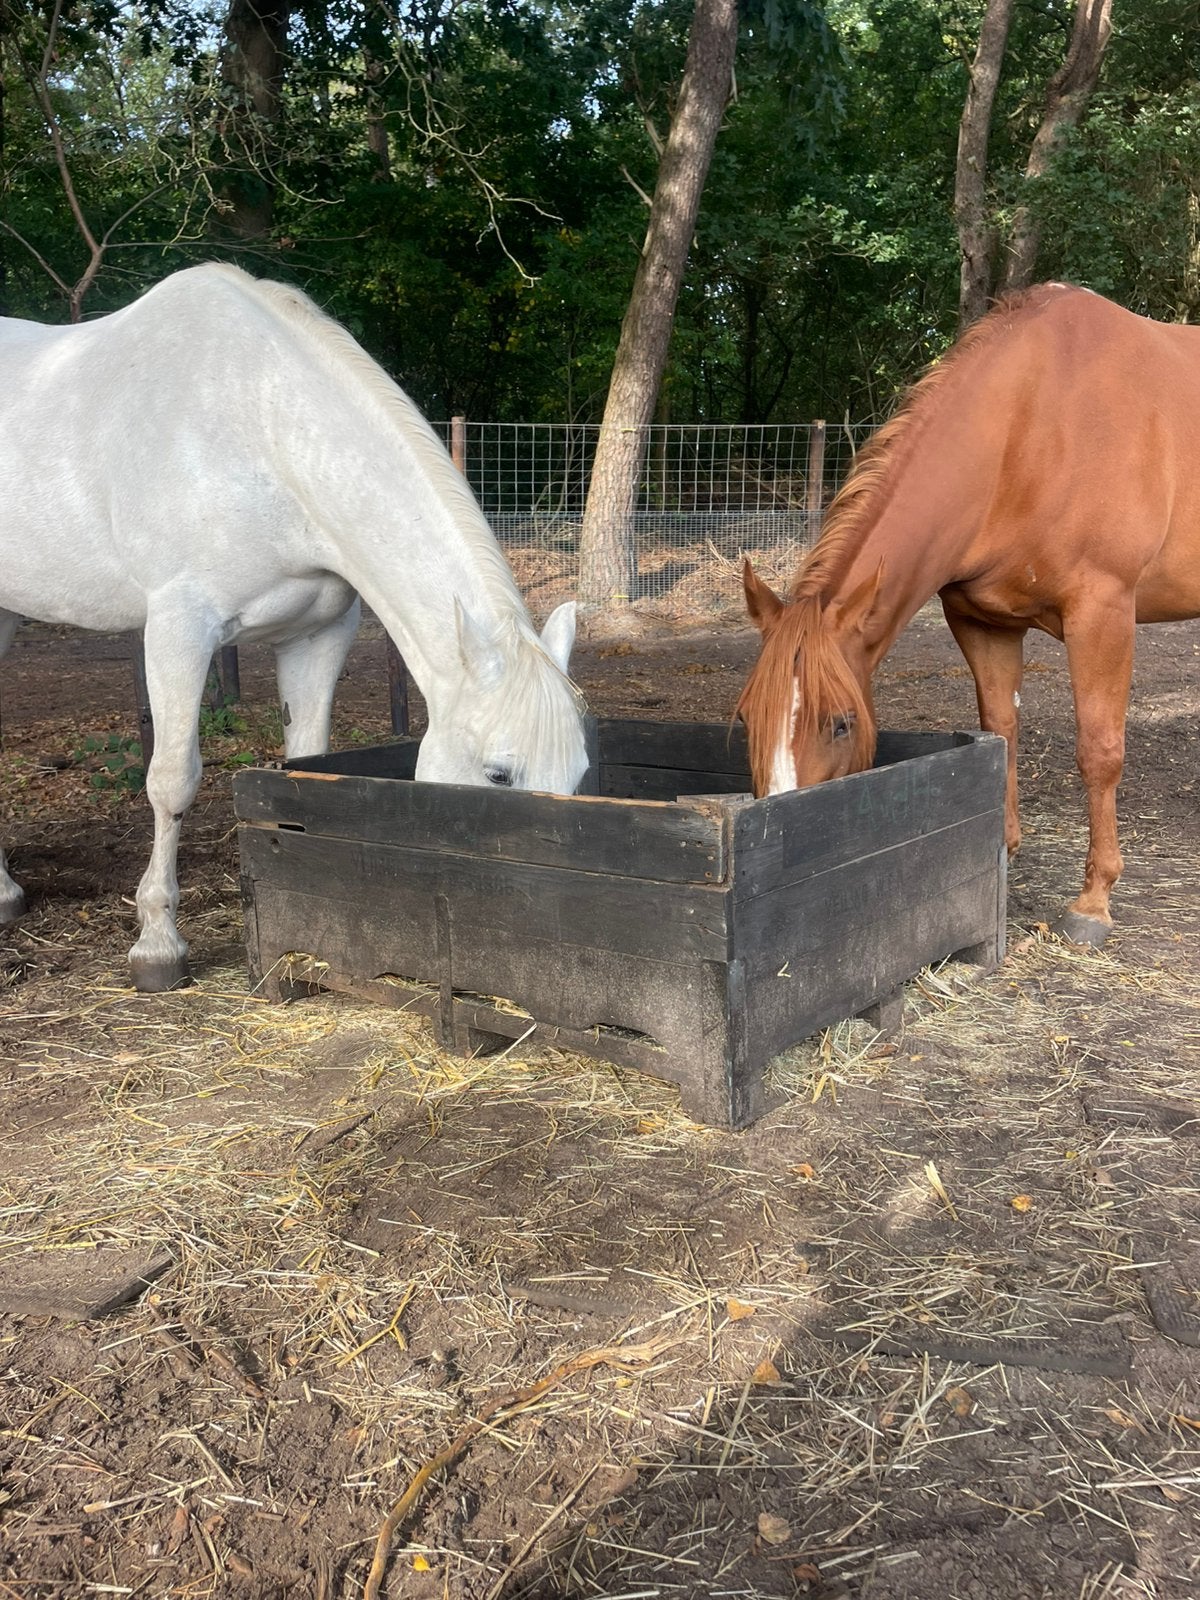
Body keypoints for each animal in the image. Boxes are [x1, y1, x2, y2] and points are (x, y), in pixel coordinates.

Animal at [0, 264, 587, 991]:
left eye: (580, 773)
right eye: (499, 775)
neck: (261, 430)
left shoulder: (316, 637)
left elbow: (308, 760)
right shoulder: (177, 629)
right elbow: (171, 780)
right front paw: (158, 943)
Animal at [738, 282, 1200, 945]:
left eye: (842, 722)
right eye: (748, 716)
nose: (782, 852)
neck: (1032, 430)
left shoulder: (1103, 612)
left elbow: (1099, 751)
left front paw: (1093, 902)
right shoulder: (982, 623)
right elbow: (999, 731)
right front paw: (1000, 852)